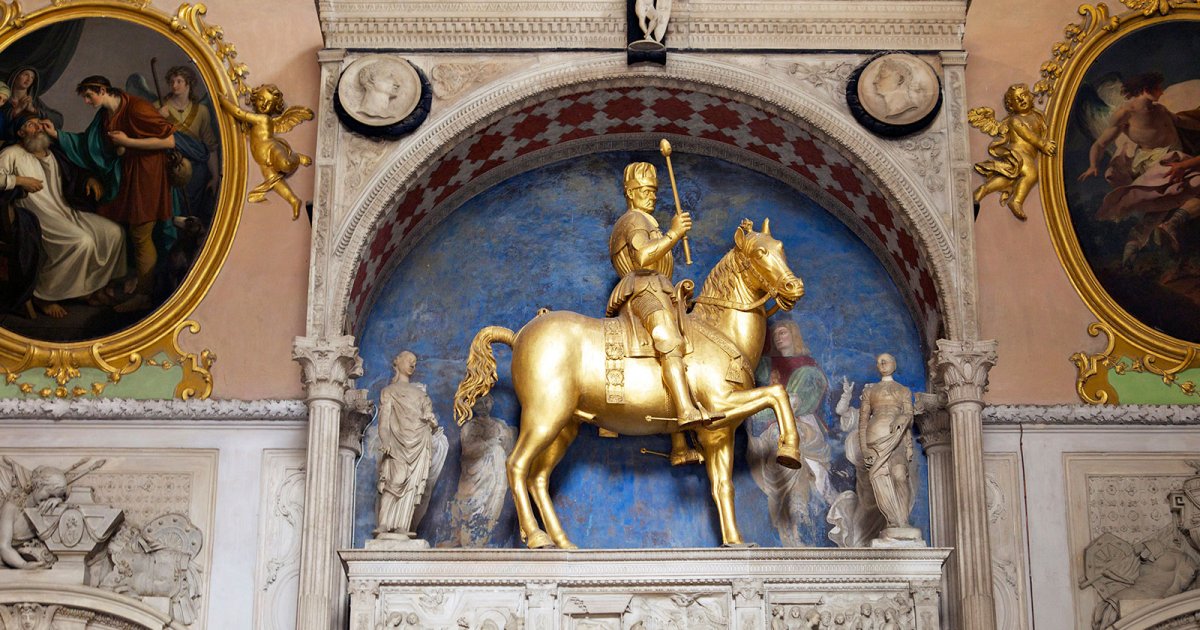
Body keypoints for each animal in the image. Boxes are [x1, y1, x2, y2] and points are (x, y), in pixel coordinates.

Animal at [456, 219, 806, 544]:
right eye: (760, 253)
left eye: (781, 247)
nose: (794, 287)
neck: (721, 331)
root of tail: (519, 335)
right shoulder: (720, 405)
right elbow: (777, 393)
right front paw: (789, 452)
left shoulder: (719, 433)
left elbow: (723, 486)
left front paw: (734, 541)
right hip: (544, 416)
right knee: (515, 465)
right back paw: (537, 537)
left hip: (564, 425)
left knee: (537, 478)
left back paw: (563, 542)